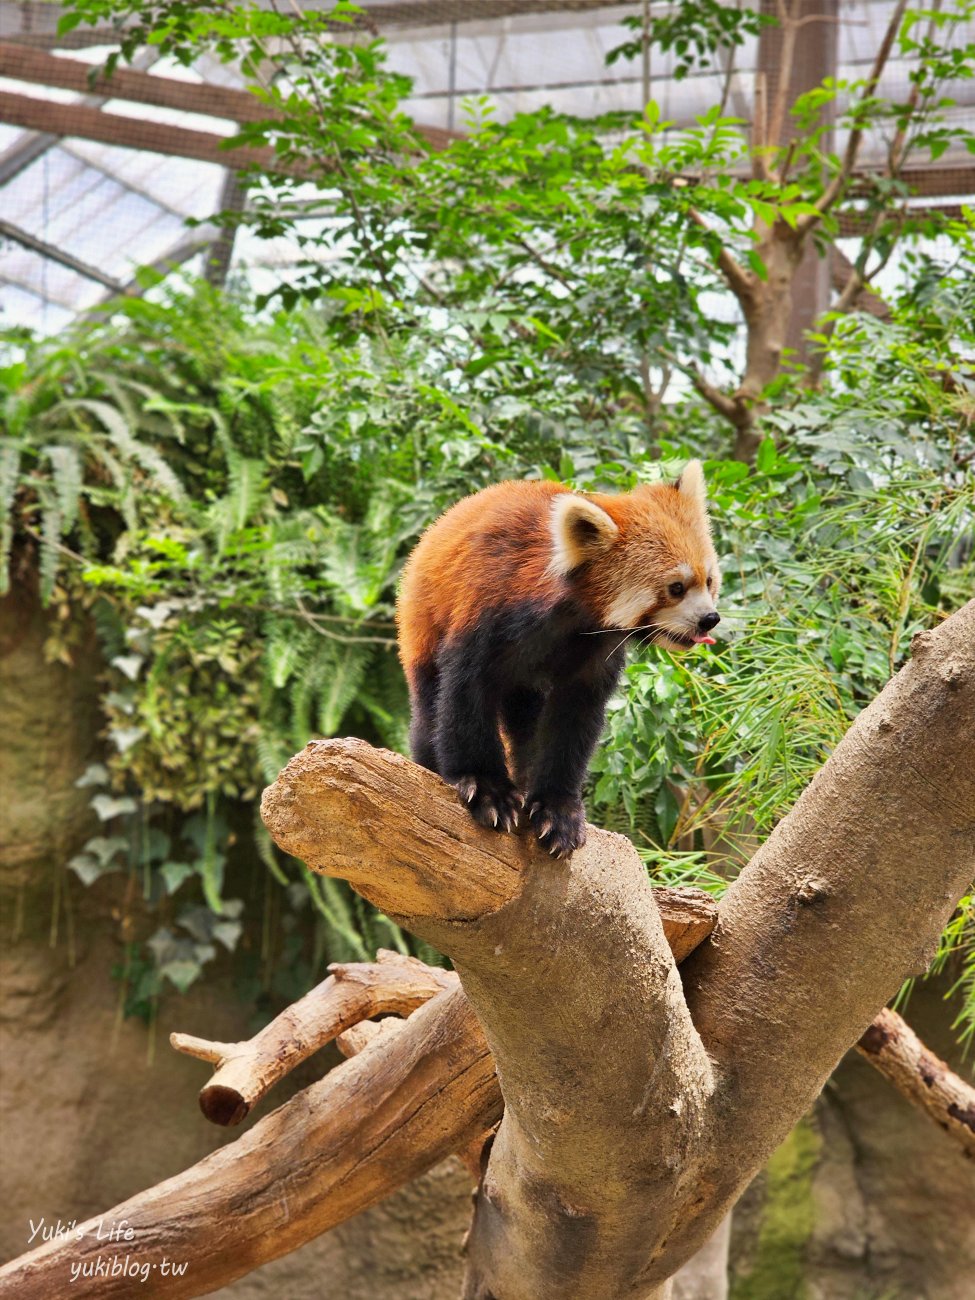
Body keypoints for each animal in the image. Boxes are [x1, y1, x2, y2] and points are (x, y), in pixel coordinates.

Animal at [392, 462, 722, 857]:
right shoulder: (488, 608)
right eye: (676, 588)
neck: (574, 619)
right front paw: (486, 788)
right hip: (422, 622)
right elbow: (466, 694)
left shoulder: (596, 655)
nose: (709, 619)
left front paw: (557, 810)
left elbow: (572, 722)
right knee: (430, 706)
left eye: (708, 580)